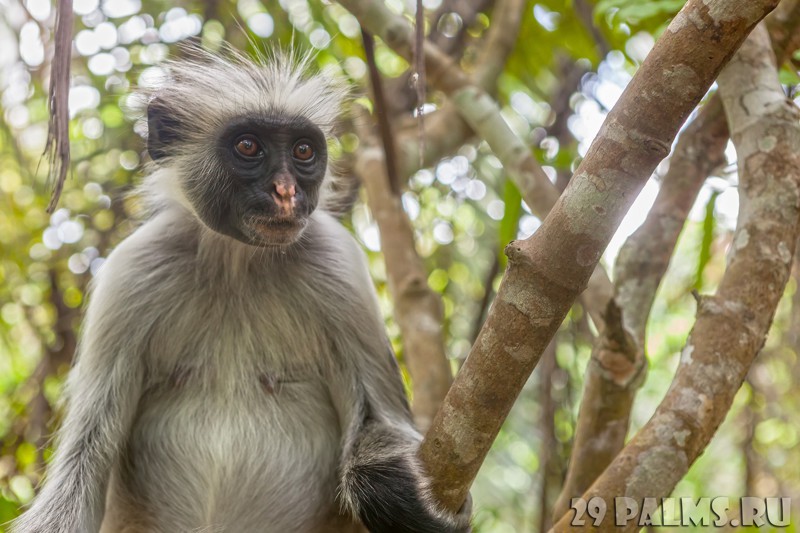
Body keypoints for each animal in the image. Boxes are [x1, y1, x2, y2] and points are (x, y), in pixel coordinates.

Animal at [10, 47, 468, 528]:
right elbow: (81, 466)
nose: (286, 192)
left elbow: (381, 419)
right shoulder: (133, 272)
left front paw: (386, 488)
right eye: (248, 146)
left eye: (303, 150)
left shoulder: (338, 267)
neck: (237, 262)